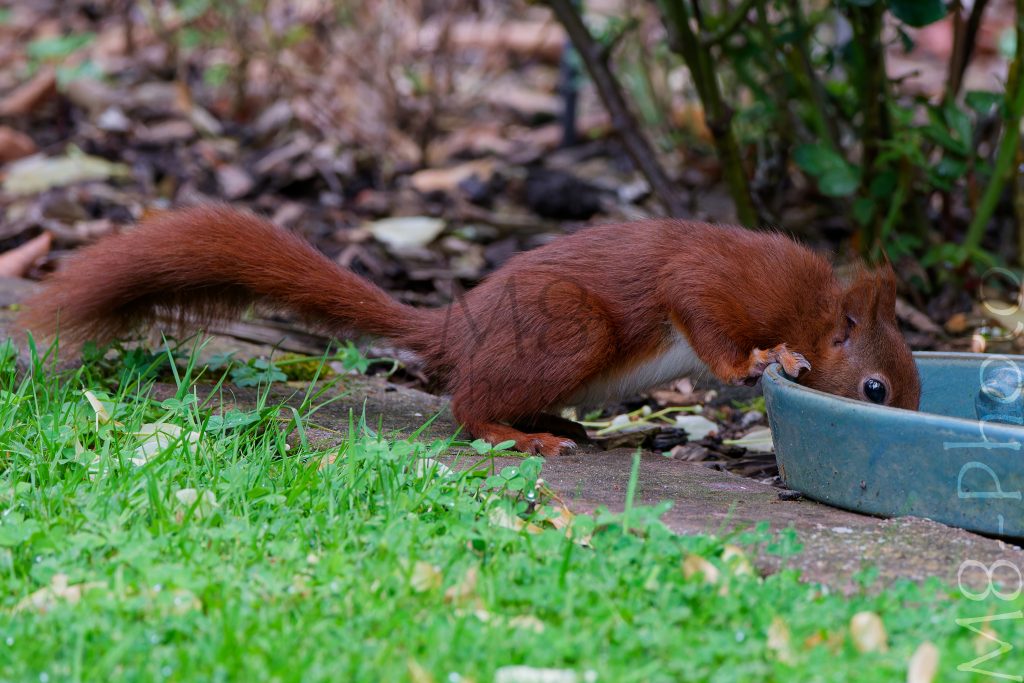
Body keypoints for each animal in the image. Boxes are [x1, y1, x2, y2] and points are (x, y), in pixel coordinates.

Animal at [18, 204, 921, 456]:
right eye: (875, 387)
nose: (903, 421)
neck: (813, 306)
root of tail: (458, 326)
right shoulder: (714, 279)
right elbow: (700, 309)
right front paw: (763, 358)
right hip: (569, 332)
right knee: (465, 406)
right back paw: (521, 434)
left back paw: (561, 424)